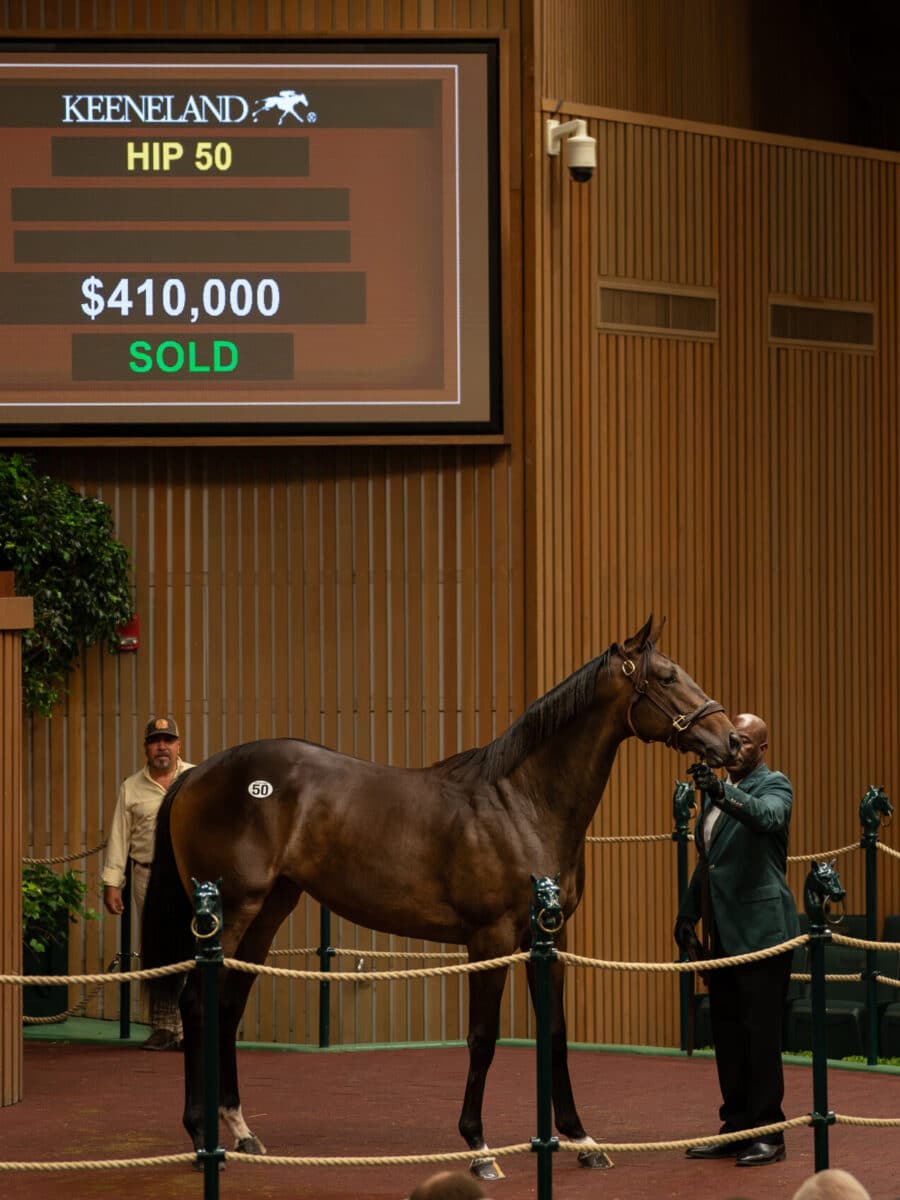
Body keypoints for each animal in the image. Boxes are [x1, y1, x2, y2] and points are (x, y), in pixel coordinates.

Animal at [144, 614, 744, 1176]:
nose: (733, 741)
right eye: (666, 677)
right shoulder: (490, 939)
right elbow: (483, 1038)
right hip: (234, 910)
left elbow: (555, 1031)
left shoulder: (550, 936)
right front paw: (478, 1147)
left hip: (269, 910)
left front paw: (581, 1139)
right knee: (197, 1004)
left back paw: (241, 1132)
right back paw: (200, 1137)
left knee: (227, 1005)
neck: (521, 803)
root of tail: (196, 774)